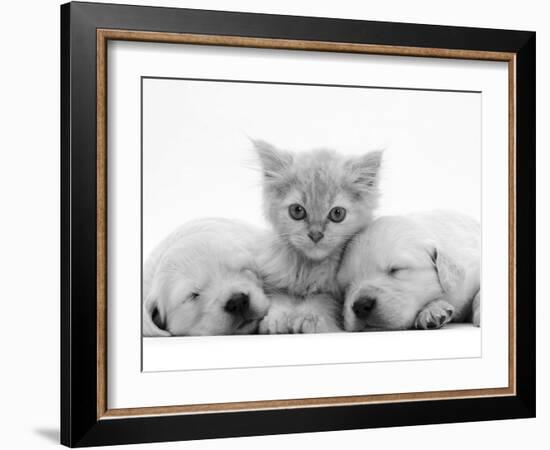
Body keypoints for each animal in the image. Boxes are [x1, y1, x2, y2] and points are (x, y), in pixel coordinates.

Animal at [254, 141, 384, 334]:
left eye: (337, 213)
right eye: (297, 211)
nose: (315, 234)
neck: (309, 268)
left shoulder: (334, 295)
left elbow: (321, 301)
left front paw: (308, 318)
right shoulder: (275, 283)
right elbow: (280, 299)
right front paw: (276, 319)